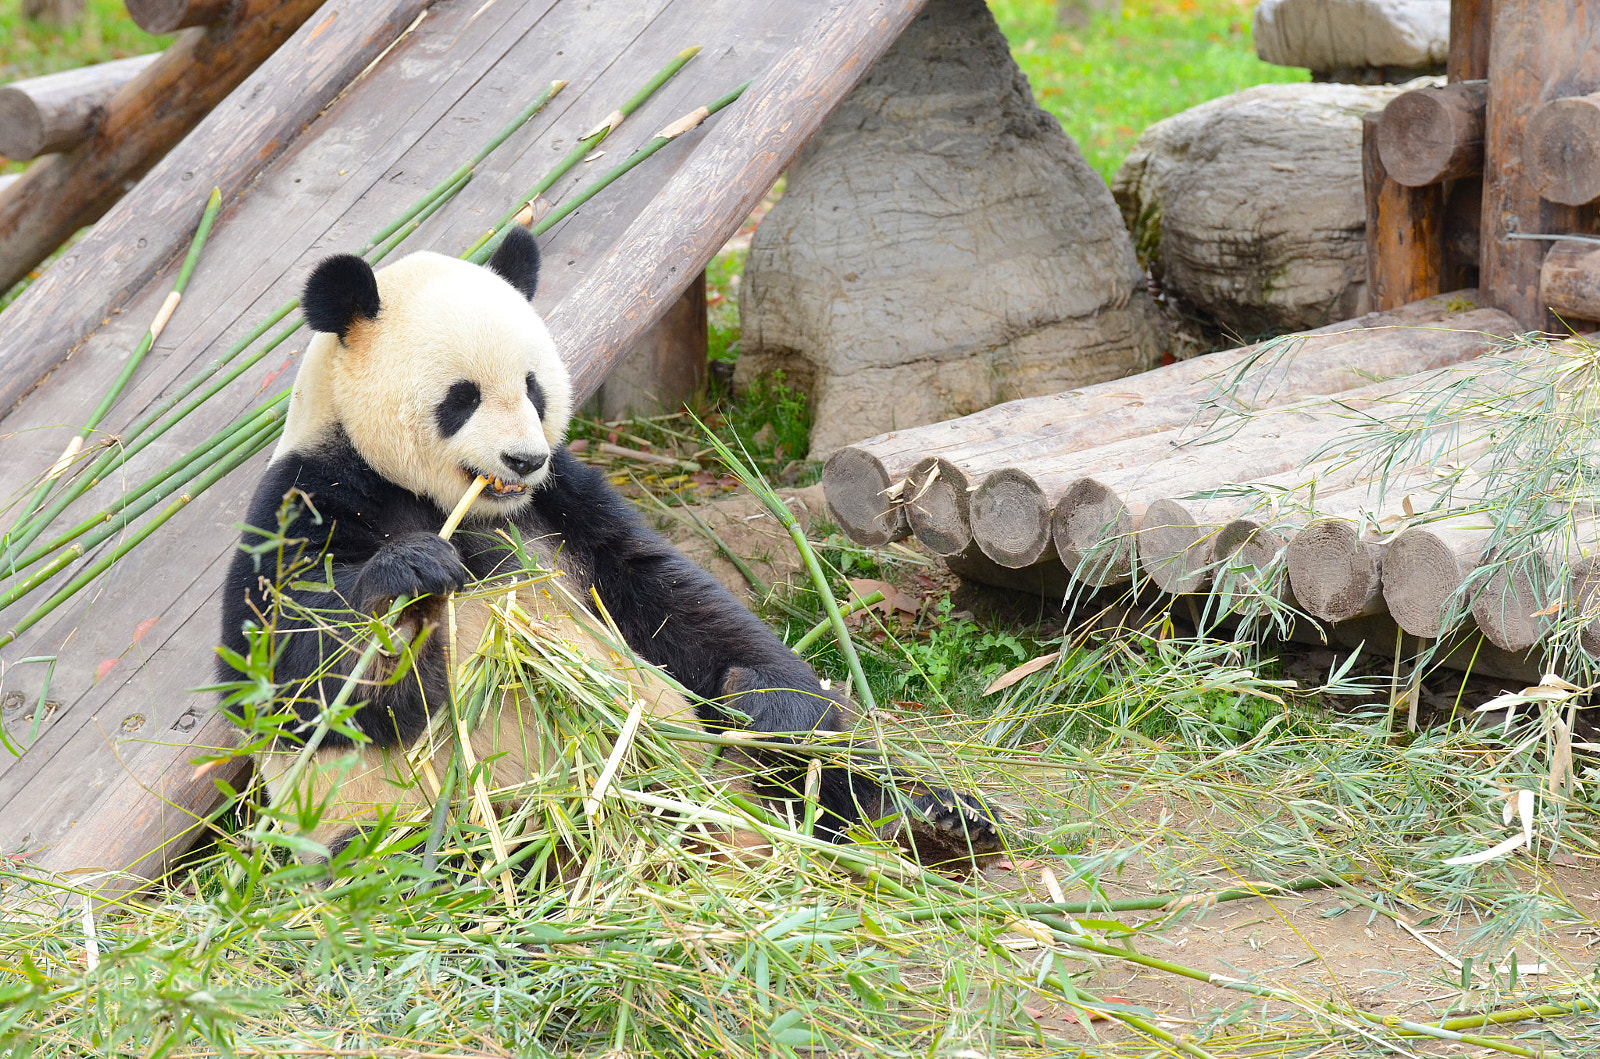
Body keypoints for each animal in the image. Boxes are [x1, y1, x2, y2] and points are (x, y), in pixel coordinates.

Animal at [218, 226, 999, 868]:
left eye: (533, 387)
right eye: (462, 396)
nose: (523, 458)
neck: (455, 505)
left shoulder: (567, 500)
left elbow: (670, 596)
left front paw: (773, 702)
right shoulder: (309, 495)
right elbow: (279, 674)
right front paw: (410, 576)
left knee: (827, 762)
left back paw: (930, 817)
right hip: (393, 818)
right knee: (414, 861)